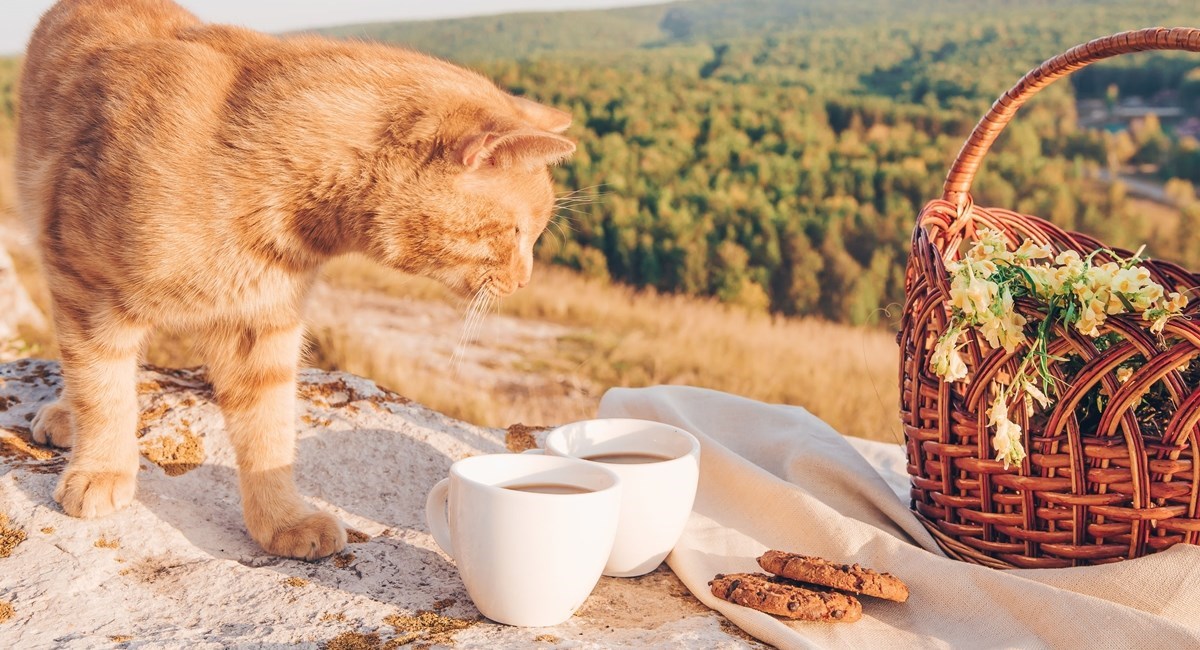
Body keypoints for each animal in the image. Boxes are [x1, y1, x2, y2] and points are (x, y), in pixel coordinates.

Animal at [15, 0, 576, 561]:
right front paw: (102, 469)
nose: (524, 281)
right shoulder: (84, 286)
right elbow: (101, 391)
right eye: (518, 232)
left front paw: (280, 520)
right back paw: (66, 417)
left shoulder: (261, 327)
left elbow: (269, 435)